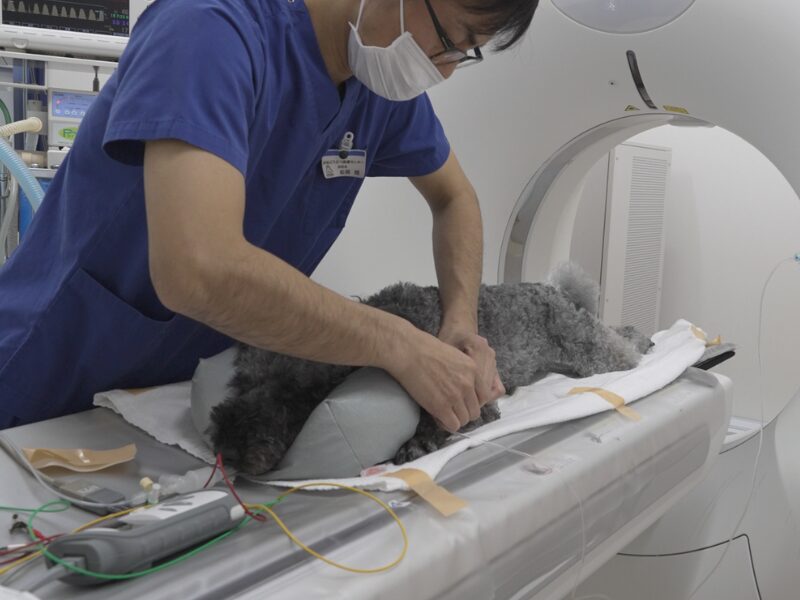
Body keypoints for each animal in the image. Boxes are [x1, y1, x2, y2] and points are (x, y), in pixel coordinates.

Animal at [208, 264, 652, 475]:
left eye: (300, 394)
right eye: (242, 382)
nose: (229, 449)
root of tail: (551, 289)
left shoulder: (476, 402)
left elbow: (438, 420)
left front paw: (419, 442)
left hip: (586, 347)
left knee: (620, 352)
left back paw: (642, 344)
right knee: (618, 331)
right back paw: (642, 334)